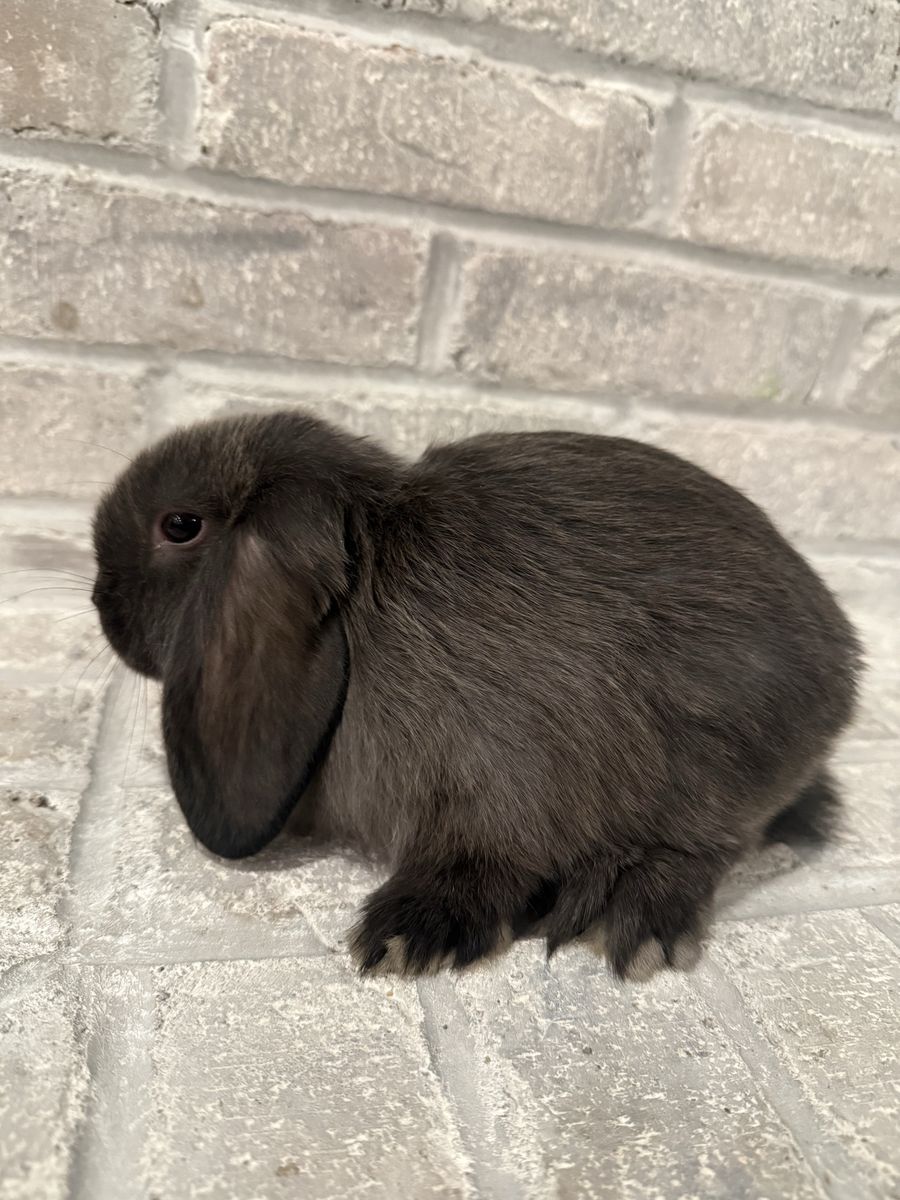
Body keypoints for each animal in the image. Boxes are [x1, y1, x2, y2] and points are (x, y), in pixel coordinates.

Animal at [91, 410, 861, 981]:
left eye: (180, 526)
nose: (103, 607)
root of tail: (844, 666)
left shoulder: (494, 782)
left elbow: (481, 862)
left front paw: (406, 935)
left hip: (719, 769)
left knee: (710, 844)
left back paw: (624, 914)